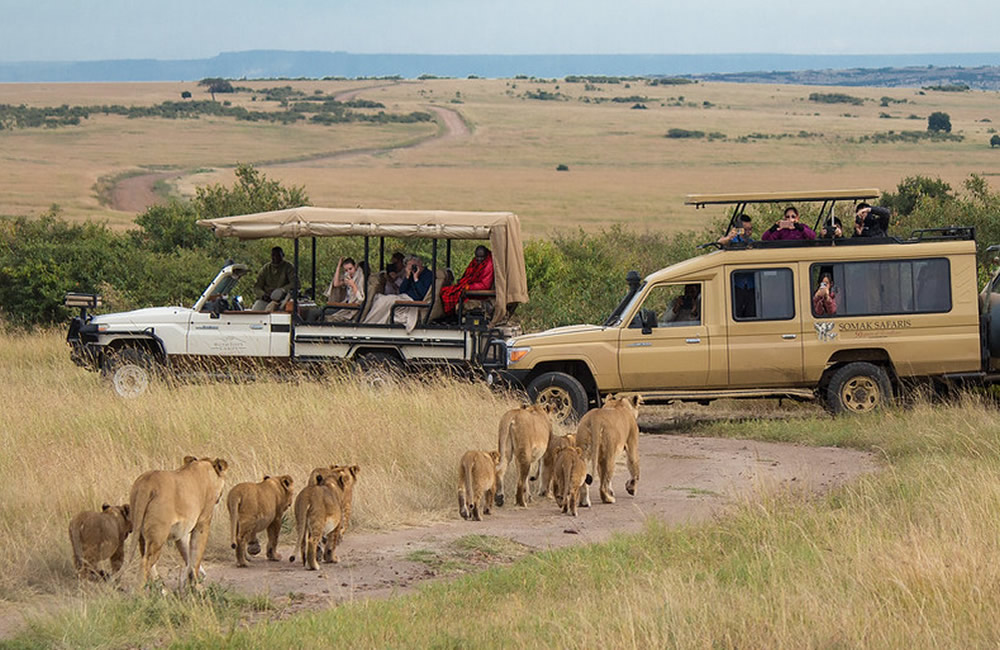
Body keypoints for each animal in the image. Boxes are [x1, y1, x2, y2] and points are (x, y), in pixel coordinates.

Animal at [129, 455, 228, 588]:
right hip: (159, 534)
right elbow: (196, 557)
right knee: (146, 562)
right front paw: (197, 587)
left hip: (140, 530)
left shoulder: (182, 531)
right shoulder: (203, 522)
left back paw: (162, 590)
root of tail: (147, 482)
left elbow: (188, 556)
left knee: (147, 559)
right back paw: (140, 592)